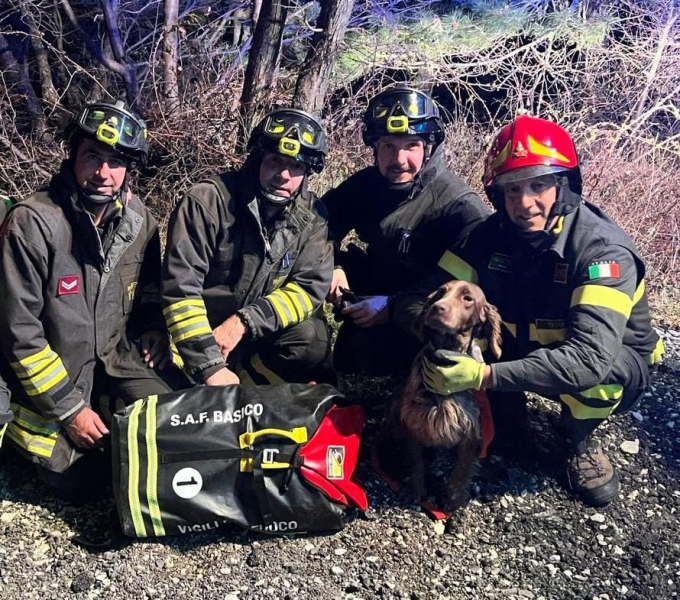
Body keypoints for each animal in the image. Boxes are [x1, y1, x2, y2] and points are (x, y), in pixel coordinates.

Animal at [390, 280, 502, 510]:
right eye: (441, 292)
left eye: (468, 298)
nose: (436, 308)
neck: (445, 359)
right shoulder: (414, 422)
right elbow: (417, 463)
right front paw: (418, 492)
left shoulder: (472, 433)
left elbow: (459, 474)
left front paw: (451, 503)